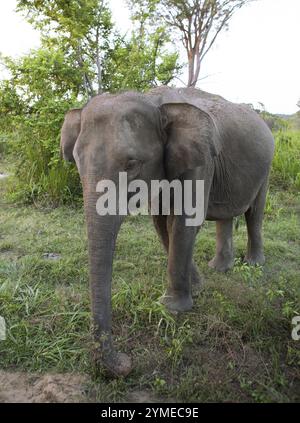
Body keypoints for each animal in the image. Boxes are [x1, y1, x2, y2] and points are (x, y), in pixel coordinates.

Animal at [60, 86, 274, 378]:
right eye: (77, 161)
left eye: (131, 164)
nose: (126, 362)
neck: (153, 101)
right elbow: (162, 224)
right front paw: (198, 286)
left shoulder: (200, 161)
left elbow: (185, 222)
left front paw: (172, 308)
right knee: (225, 216)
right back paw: (219, 268)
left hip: (266, 166)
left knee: (255, 212)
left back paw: (253, 264)